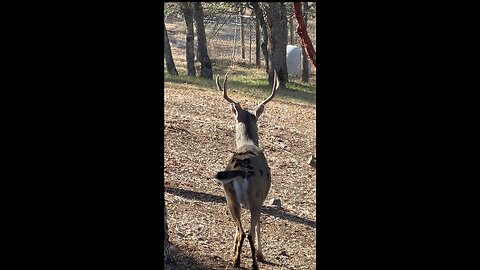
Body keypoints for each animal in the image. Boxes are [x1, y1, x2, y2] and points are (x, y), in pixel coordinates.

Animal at [215, 70, 280, 268]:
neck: (248, 143)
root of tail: (242, 171)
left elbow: (237, 230)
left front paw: (233, 250)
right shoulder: (263, 196)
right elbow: (259, 225)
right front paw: (261, 254)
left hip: (229, 197)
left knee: (240, 230)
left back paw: (236, 260)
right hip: (255, 196)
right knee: (250, 231)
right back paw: (254, 263)